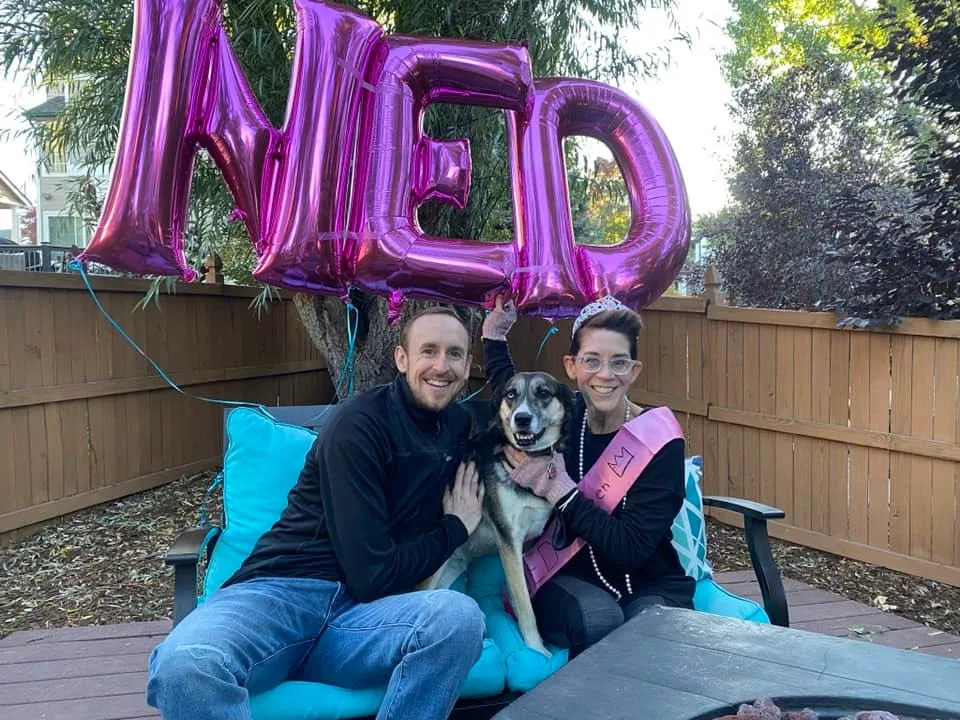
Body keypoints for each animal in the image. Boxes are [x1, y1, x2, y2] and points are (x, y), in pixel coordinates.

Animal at [418, 372, 568, 660]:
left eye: (543, 393)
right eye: (511, 394)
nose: (521, 418)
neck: (528, 462)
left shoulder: (525, 545)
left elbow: (522, 595)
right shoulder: (509, 539)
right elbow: (525, 604)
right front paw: (537, 650)